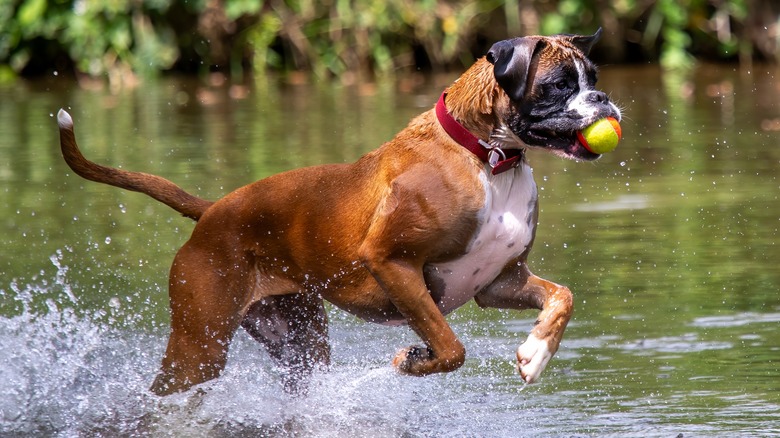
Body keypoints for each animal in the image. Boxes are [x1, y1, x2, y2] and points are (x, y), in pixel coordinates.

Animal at [56, 29, 620, 396]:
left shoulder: (499, 282)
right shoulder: (392, 263)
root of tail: (214, 211)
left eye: (592, 76)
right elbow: (450, 346)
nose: (604, 97)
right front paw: (412, 361)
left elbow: (563, 297)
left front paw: (536, 354)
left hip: (298, 344)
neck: (488, 157)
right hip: (198, 348)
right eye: (558, 86)